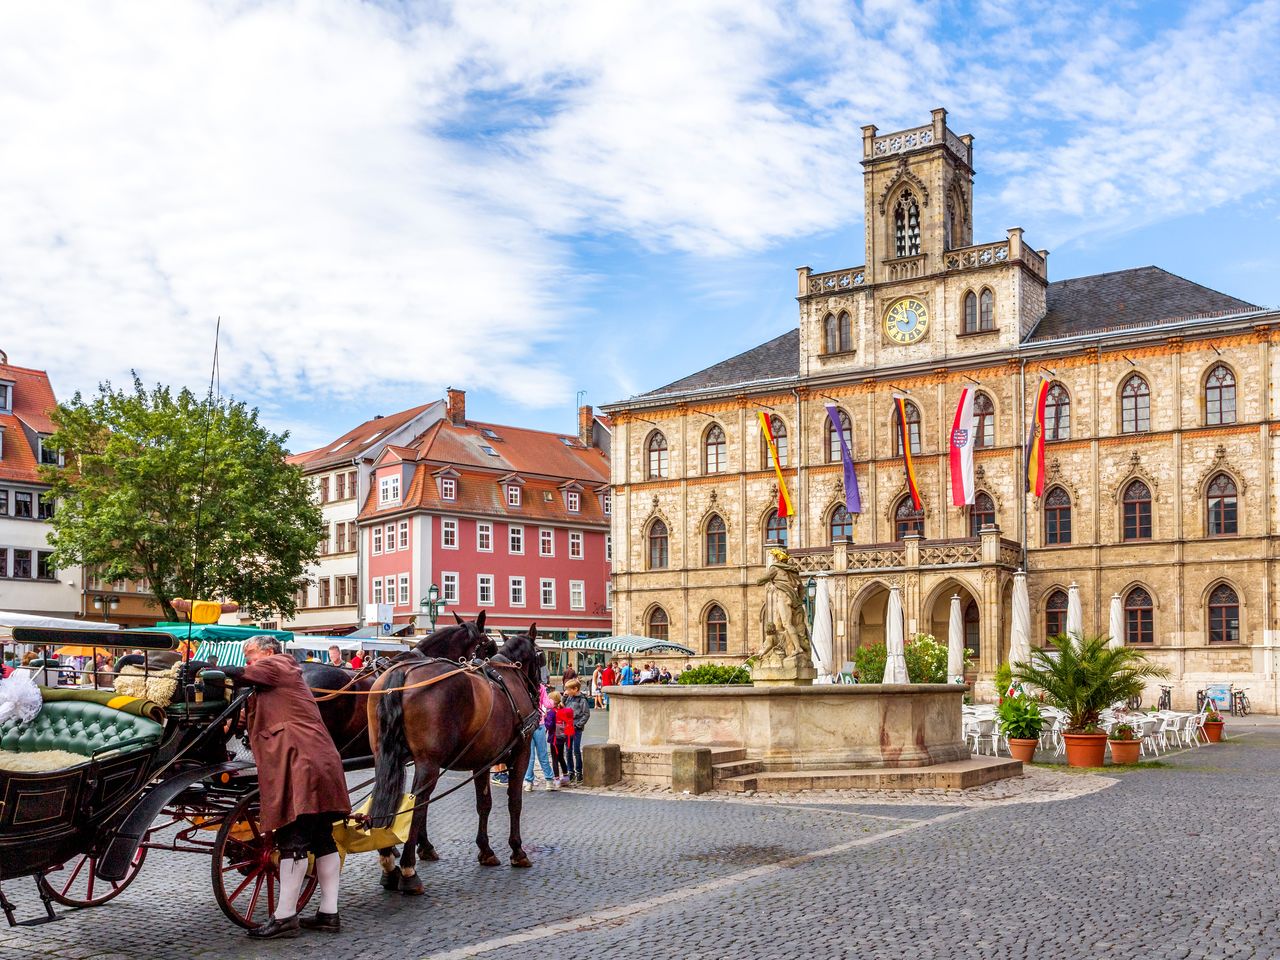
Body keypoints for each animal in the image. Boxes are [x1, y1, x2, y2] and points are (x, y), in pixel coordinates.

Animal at [366, 624, 540, 896]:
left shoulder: (483, 760)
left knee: (386, 795)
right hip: (428, 763)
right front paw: (517, 850)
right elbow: (515, 802)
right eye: (541, 657)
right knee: (418, 803)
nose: (541, 687)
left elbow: (484, 804)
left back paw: (389, 864)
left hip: (385, 756)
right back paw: (408, 870)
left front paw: (485, 850)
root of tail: (402, 673)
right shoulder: (521, 752)